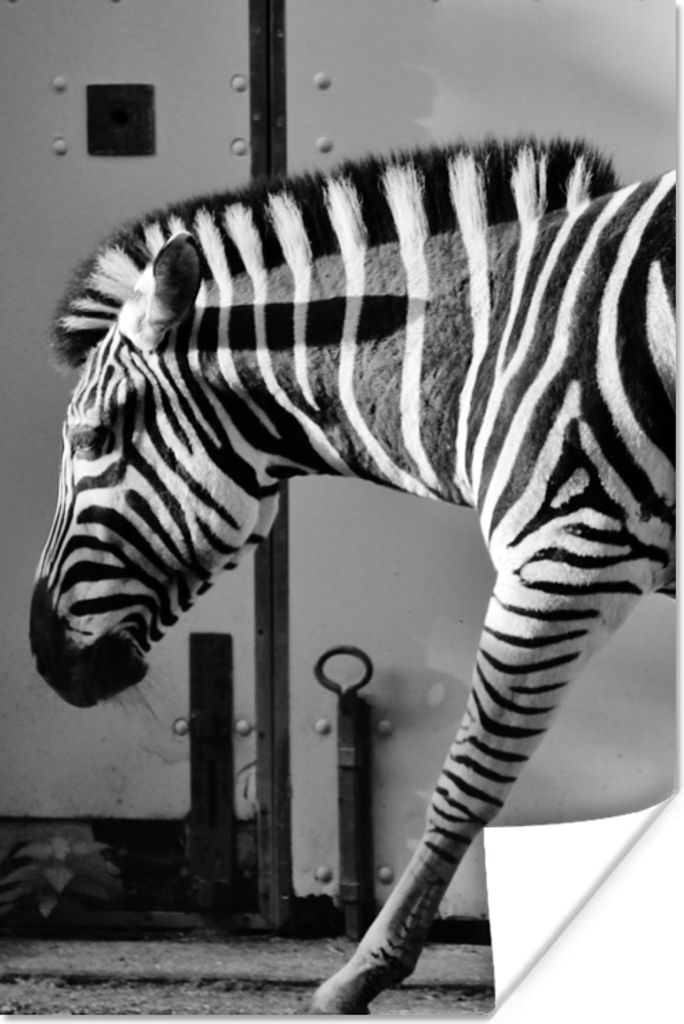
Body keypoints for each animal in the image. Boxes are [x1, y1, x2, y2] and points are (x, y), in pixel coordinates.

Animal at [29, 137, 675, 1014]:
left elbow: (467, 776)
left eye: (92, 439)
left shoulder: (565, 554)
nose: (44, 655)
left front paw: (363, 971)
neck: (486, 351)